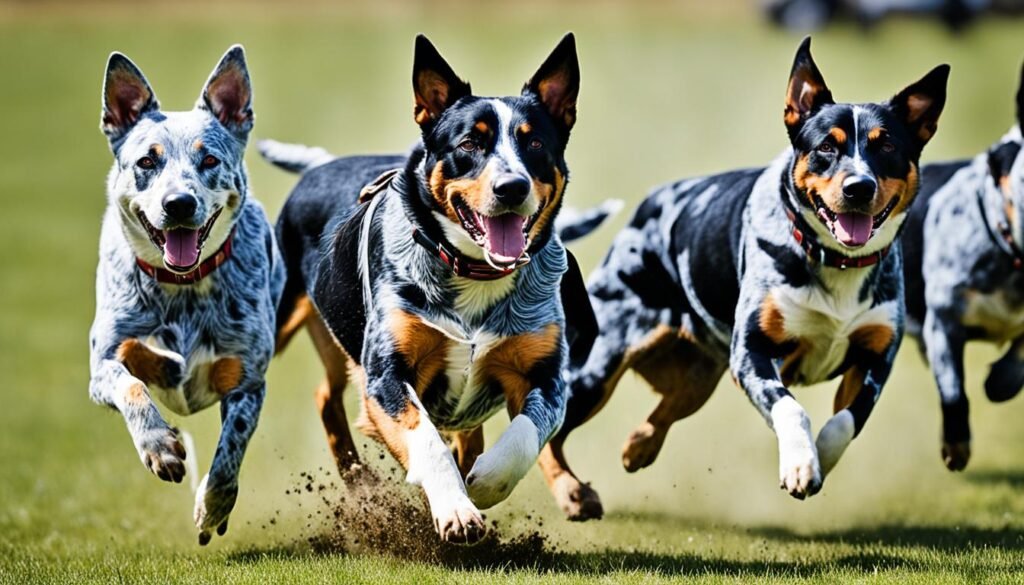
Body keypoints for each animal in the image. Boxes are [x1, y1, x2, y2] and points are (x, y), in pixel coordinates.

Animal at [88, 48, 284, 549]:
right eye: (146, 161)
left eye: (209, 158)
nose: (178, 203)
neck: (184, 291)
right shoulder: (103, 365)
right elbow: (130, 383)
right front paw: (161, 447)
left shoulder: (248, 380)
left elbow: (230, 452)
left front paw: (212, 508)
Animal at [260, 32, 602, 545]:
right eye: (469, 143)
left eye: (535, 141)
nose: (512, 187)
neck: (473, 276)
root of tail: (321, 166)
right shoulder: (387, 372)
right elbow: (428, 442)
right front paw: (456, 509)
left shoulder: (544, 373)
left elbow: (525, 436)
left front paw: (482, 484)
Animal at [540, 38, 946, 520]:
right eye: (826, 148)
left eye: (886, 147)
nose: (858, 188)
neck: (836, 262)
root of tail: (643, 213)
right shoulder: (754, 352)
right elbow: (792, 410)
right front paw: (800, 465)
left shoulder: (875, 356)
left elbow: (846, 421)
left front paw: (817, 458)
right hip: (599, 363)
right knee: (548, 429)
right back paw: (572, 492)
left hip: (699, 376)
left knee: (664, 410)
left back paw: (638, 447)